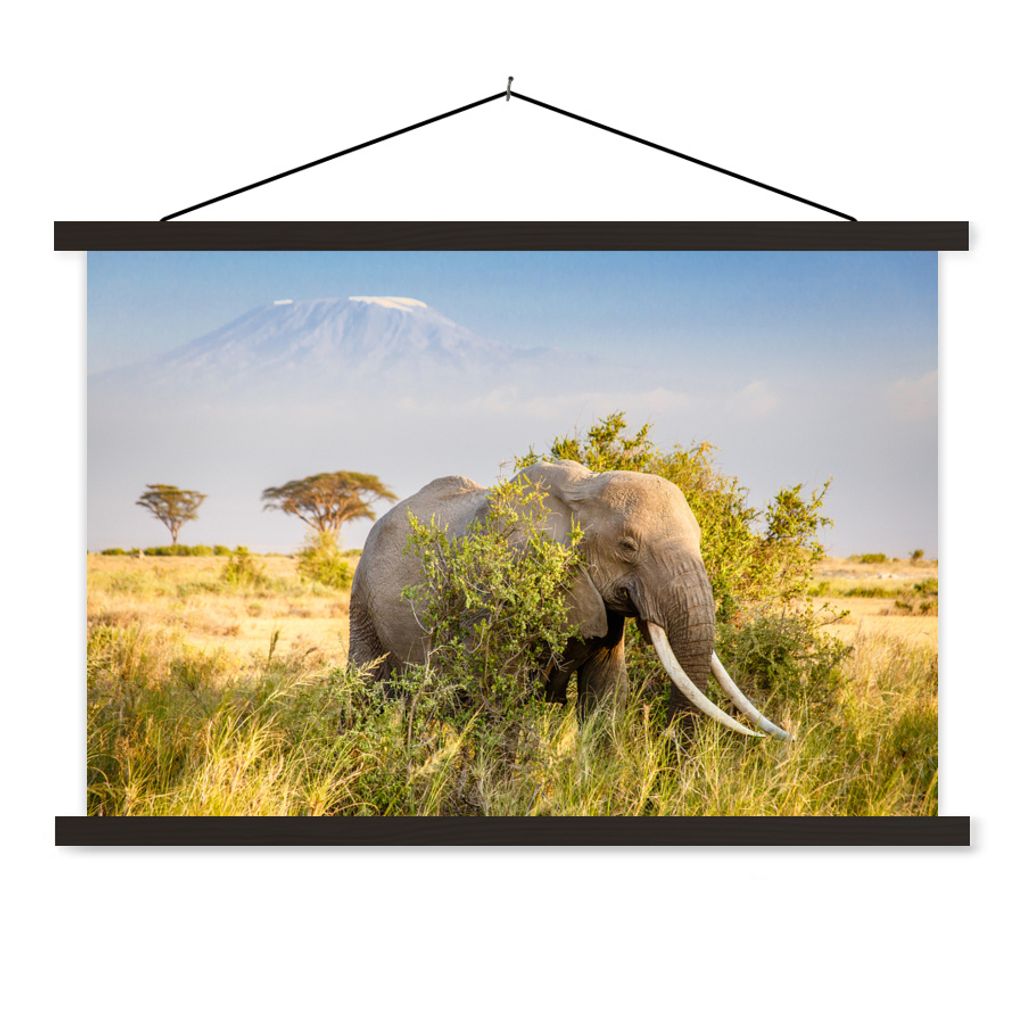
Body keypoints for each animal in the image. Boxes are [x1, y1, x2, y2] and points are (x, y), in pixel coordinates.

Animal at [347, 459, 790, 739]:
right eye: (628, 546)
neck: (583, 492)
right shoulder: (498, 589)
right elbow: (503, 699)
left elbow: (606, 698)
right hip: (362, 600)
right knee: (364, 689)